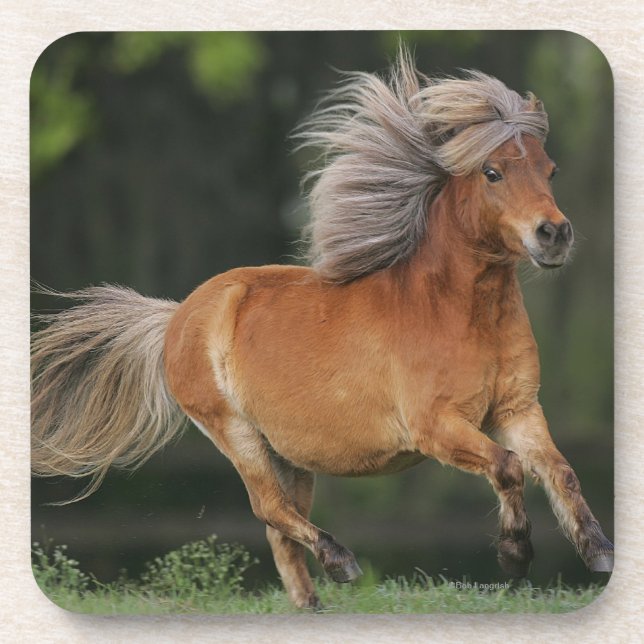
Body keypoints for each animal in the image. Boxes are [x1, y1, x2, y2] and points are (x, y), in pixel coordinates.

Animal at [31, 48, 614, 610]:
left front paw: (599, 552)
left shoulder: (517, 409)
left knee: (279, 527)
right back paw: (341, 562)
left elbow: (559, 471)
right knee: (269, 508)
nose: (554, 234)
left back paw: (311, 603)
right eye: (492, 172)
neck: (459, 313)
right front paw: (515, 555)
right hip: (235, 432)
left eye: (550, 169)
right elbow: (509, 467)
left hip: (289, 454)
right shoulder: (436, 427)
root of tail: (177, 316)